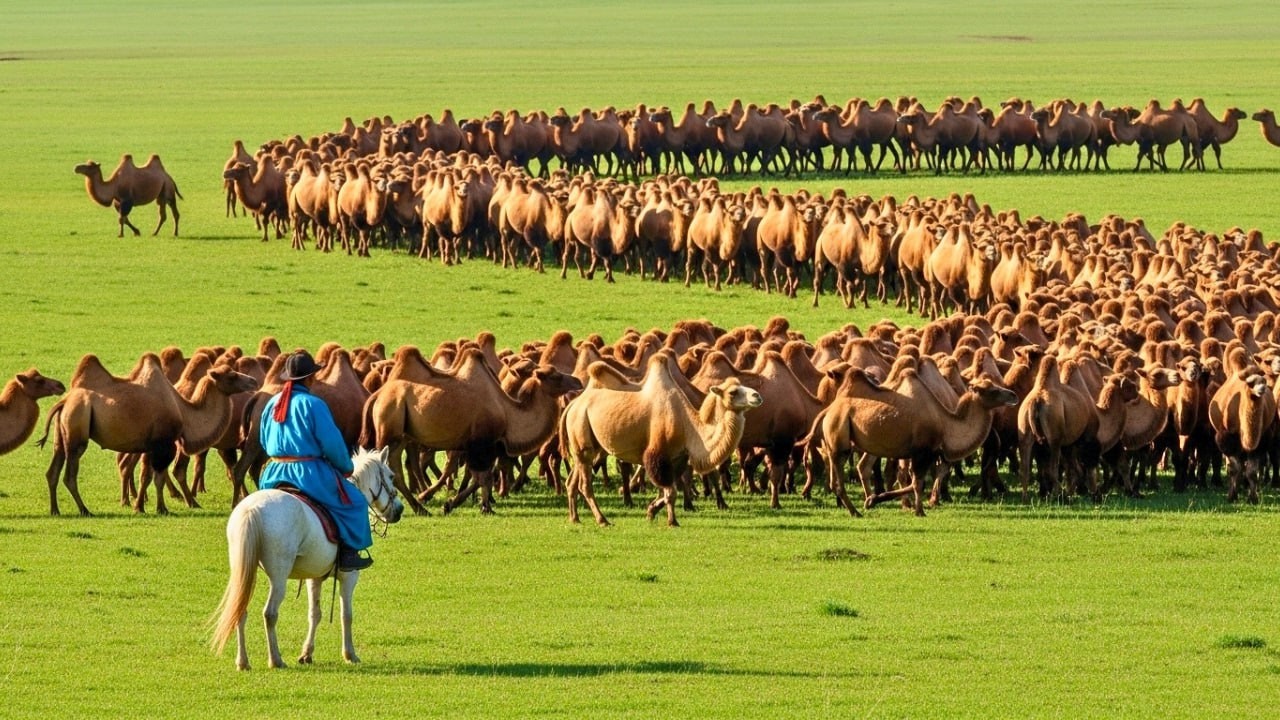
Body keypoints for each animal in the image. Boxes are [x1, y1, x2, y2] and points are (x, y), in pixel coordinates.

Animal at [38, 354, 258, 515]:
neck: (184, 412)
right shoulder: (164, 444)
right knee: (69, 475)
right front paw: (162, 509)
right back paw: (85, 510)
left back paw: (55, 510)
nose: (253, 381)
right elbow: (158, 477)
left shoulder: (150, 445)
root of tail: (64, 401)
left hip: (62, 434)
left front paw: (140, 507)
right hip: (77, 429)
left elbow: (146, 476)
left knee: (53, 471)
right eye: (231, 375)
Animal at [560, 352, 762, 526]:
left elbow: (668, 491)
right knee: (585, 484)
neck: (687, 425)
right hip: (581, 430)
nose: (757, 396)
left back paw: (574, 518)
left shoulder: (678, 457)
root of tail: (573, 404)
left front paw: (651, 511)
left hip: (589, 446)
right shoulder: (658, 454)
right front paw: (672, 521)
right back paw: (602, 520)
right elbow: (670, 492)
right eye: (733, 392)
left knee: (572, 481)